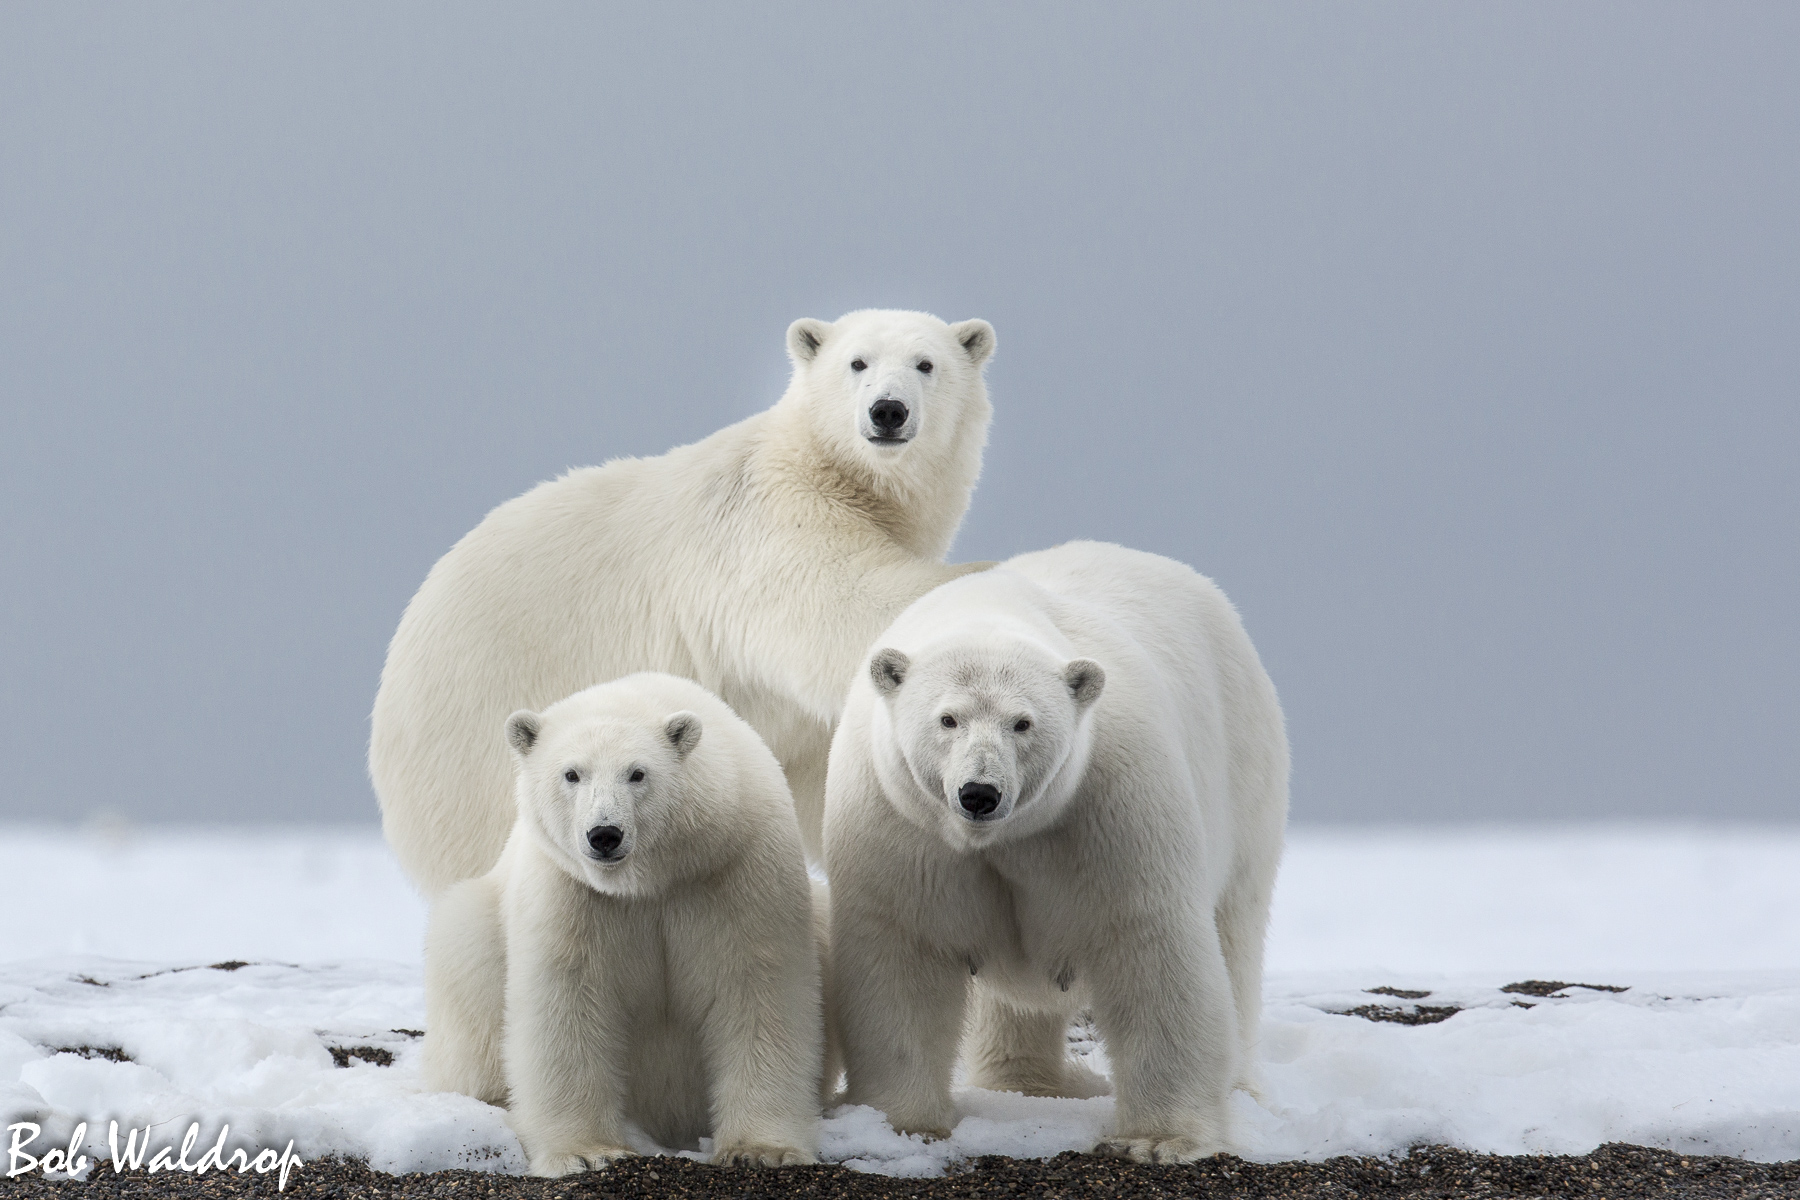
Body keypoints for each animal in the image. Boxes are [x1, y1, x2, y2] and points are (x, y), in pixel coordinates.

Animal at [372, 309, 1000, 892]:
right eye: (857, 362)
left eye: (926, 364)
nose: (888, 411)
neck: (848, 480)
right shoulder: (768, 525)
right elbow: (842, 603)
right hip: (481, 739)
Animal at [421, 672, 824, 1180]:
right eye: (572, 773)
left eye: (638, 773)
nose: (605, 835)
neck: (654, 878)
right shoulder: (573, 891)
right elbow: (568, 1000)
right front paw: (588, 1152)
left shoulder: (735, 868)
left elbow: (758, 987)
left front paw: (762, 1149)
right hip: (475, 934)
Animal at [824, 543, 1288, 1165]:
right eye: (947, 718)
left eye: (1023, 723)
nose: (979, 793)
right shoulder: (899, 824)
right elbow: (900, 954)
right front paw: (901, 1123)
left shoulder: (1106, 806)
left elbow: (1148, 943)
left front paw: (1159, 1139)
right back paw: (1025, 1083)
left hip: (1245, 772)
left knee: (1236, 928)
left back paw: (1238, 1085)